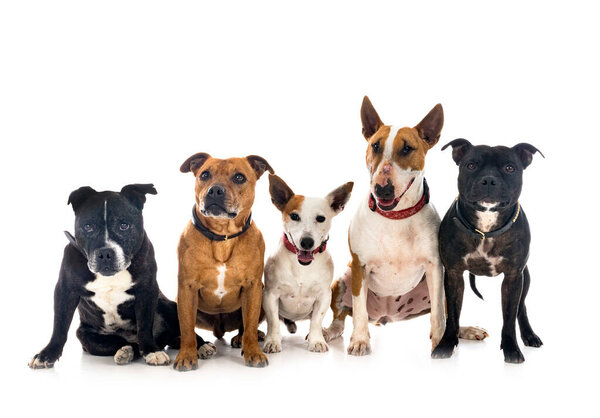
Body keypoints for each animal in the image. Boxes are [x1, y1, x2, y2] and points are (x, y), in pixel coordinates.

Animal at [30, 185, 214, 368]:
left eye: (124, 225)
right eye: (88, 227)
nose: (105, 253)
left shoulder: (147, 290)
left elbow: (145, 324)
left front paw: (151, 351)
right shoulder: (65, 291)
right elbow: (59, 326)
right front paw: (47, 355)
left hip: (170, 307)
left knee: (185, 330)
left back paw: (201, 346)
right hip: (85, 335)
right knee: (120, 343)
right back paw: (125, 352)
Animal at [173, 153, 274, 370]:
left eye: (239, 177)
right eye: (204, 175)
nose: (215, 190)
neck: (222, 236)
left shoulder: (252, 286)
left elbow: (250, 324)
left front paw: (253, 352)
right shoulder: (187, 288)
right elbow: (186, 327)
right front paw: (186, 355)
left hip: (260, 293)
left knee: (246, 326)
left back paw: (242, 338)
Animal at [262, 175, 352, 354]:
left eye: (321, 218)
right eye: (294, 216)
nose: (307, 242)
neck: (302, 267)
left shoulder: (324, 296)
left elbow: (316, 321)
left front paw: (316, 340)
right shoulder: (270, 295)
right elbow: (273, 322)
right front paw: (273, 341)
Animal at [324, 96, 488, 354]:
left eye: (407, 148)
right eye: (375, 146)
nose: (382, 189)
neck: (396, 217)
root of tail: (385, 314)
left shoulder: (435, 267)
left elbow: (438, 315)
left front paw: (439, 344)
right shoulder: (360, 267)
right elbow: (359, 311)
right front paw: (359, 341)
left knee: (447, 313)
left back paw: (464, 331)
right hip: (342, 280)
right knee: (342, 317)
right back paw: (330, 332)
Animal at [432, 140, 544, 362]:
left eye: (510, 168)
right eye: (471, 165)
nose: (489, 180)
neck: (485, 230)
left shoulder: (513, 277)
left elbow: (509, 317)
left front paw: (511, 349)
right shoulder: (453, 275)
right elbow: (453, 315)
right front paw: (446, 345)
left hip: (525, 278)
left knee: (521, 308)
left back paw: (529, 335)